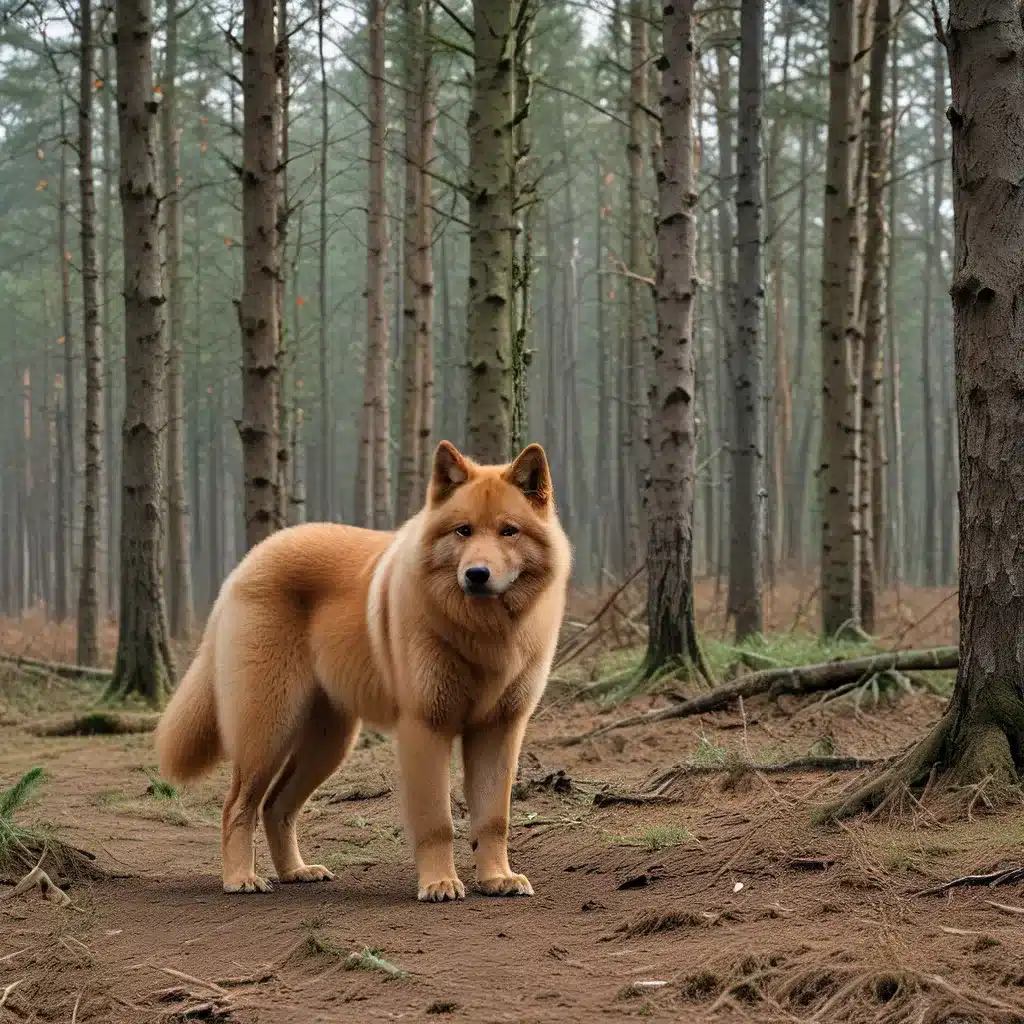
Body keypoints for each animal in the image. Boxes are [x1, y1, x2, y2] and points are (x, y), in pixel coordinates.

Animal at [152, 440, 573, 905]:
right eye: (463, 531)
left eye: (508, 531)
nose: (476, 575)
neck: (482, 633)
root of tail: (245, 564)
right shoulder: (426, 729)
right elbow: (437, 822)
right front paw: (439, 884)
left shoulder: (499, 730)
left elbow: (493, 819)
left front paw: (498, 878)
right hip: (268, 730)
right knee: (236, 806)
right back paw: (241, 877)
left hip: (328, 743)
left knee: (276, 805)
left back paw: (296, 872)